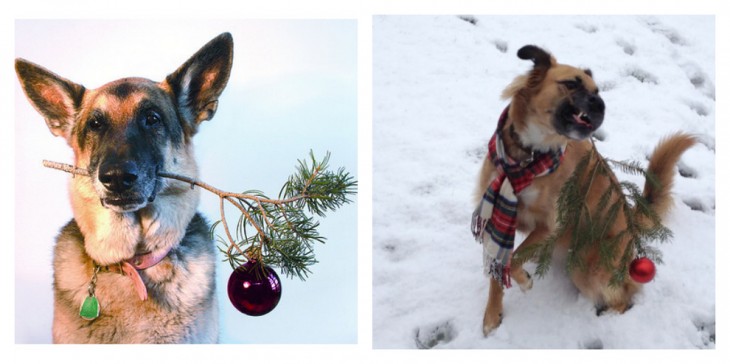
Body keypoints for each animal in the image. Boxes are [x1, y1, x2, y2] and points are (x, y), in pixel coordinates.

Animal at [472, 44, 692, 336]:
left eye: (597, 92)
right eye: (570, 84)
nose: (601, 105)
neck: (528, 157)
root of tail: (630, 222)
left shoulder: (550, 225)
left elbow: (512, 259)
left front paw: (523, 281)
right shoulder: (496, 215)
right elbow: (499, 266)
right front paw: (492, 316)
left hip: (585, 266)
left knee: (626, 292)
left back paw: (608, 317)